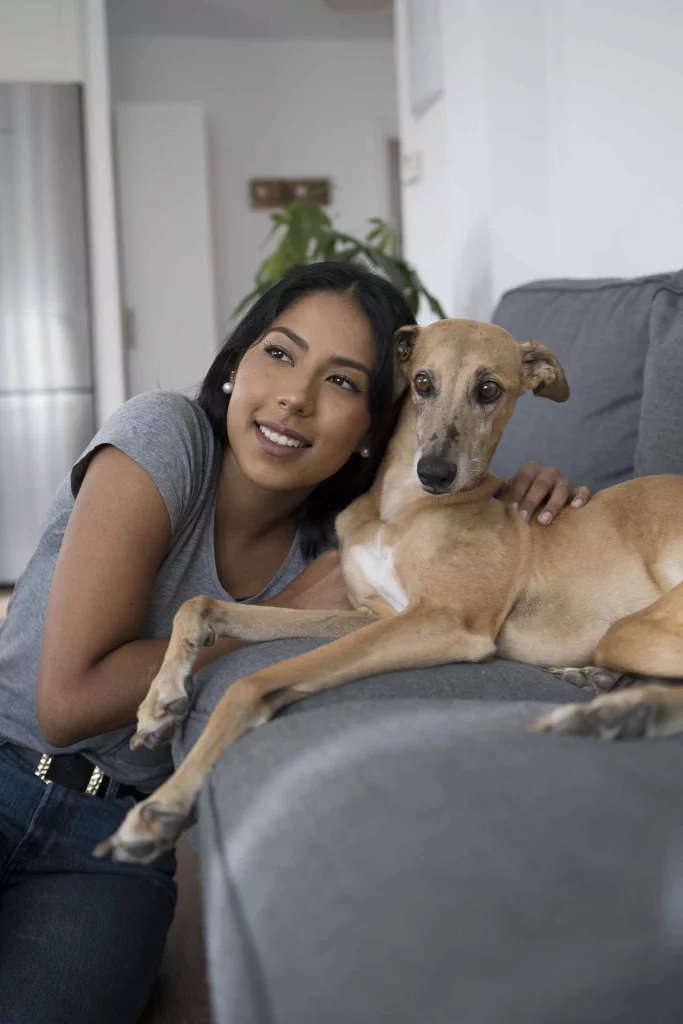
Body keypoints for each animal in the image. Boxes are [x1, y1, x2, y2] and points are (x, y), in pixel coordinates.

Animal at [96, 319, 683, 864]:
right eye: (422, 381)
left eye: (489, 389)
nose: (436, 472)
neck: (402, 511)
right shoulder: (371, 616)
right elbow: (203, 605)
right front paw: (159, 702)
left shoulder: (444, 621)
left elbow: (250, 683)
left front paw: (160, 809)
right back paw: (601, 687)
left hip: (634, 626)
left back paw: (612, 713)